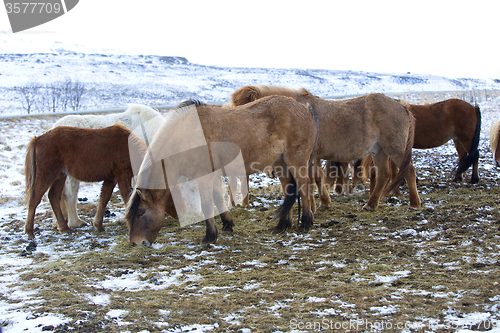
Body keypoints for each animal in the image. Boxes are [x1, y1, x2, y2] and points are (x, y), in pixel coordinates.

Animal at [24, 124, 152, 239]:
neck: (128, 146)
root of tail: (39, 138)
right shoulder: (122, 176)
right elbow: (127, 199)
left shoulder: (110, 179)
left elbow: (104, 199)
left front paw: (98, 225)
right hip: (47, 175)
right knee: (34, 200)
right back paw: (30, 232)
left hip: (60, 175)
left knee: (53, 196)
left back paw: (64, 228)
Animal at [127, 94, 318, 245]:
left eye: (141, 213)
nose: (136, 243)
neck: (186, 137)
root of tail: (305, 109)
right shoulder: (213, 175)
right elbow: (218, 199)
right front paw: (227, 224)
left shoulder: (203, 177)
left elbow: (207, 204)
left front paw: (209, 236)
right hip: (281, 163)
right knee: (288, 190)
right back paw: (282, 225)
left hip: (296, 161)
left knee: (304, 187)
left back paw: (306, 223)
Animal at [232, 84, 420, 211]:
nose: (270, 172)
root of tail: (402, 106)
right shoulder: (313, 157)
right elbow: (317, 178)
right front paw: (324, 202)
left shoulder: (308, 156)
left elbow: (312, 179)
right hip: (379, 150)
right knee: (384, 175)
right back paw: (370, 205)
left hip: (394, 149)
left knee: (409, 170)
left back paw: (414, 203)